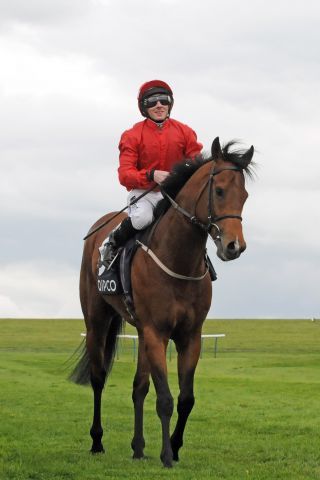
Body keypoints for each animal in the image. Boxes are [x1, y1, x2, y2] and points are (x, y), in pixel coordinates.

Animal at [70, 137, 255, 466]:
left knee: (138, 388)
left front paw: (176, 447)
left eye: (244, 195)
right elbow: (165, 398)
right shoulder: (158, 333)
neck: (178, 259)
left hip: (141, 333)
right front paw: (167, 454)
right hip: (96, 321)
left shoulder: (189, 335)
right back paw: (97, 441)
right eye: (220, 190)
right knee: (98, 378)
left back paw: (138, 448)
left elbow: (185, 398)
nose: (235, 246)